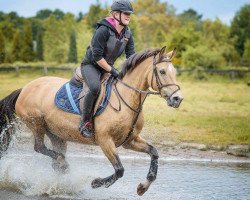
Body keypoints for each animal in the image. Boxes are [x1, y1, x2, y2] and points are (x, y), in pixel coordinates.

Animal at [0, 46, 184, 195]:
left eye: (174, 72)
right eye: (162, 72)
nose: (177, 99)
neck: (126, 98)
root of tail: (24, 88)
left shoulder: (130, 140)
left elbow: (154, 152)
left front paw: (143, 187)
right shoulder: (105, 140)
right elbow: (119, 170)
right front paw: (96, 183)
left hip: (56, 133)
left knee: (54, 157)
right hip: (36, 123)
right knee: (40, 147)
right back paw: (62, 163)